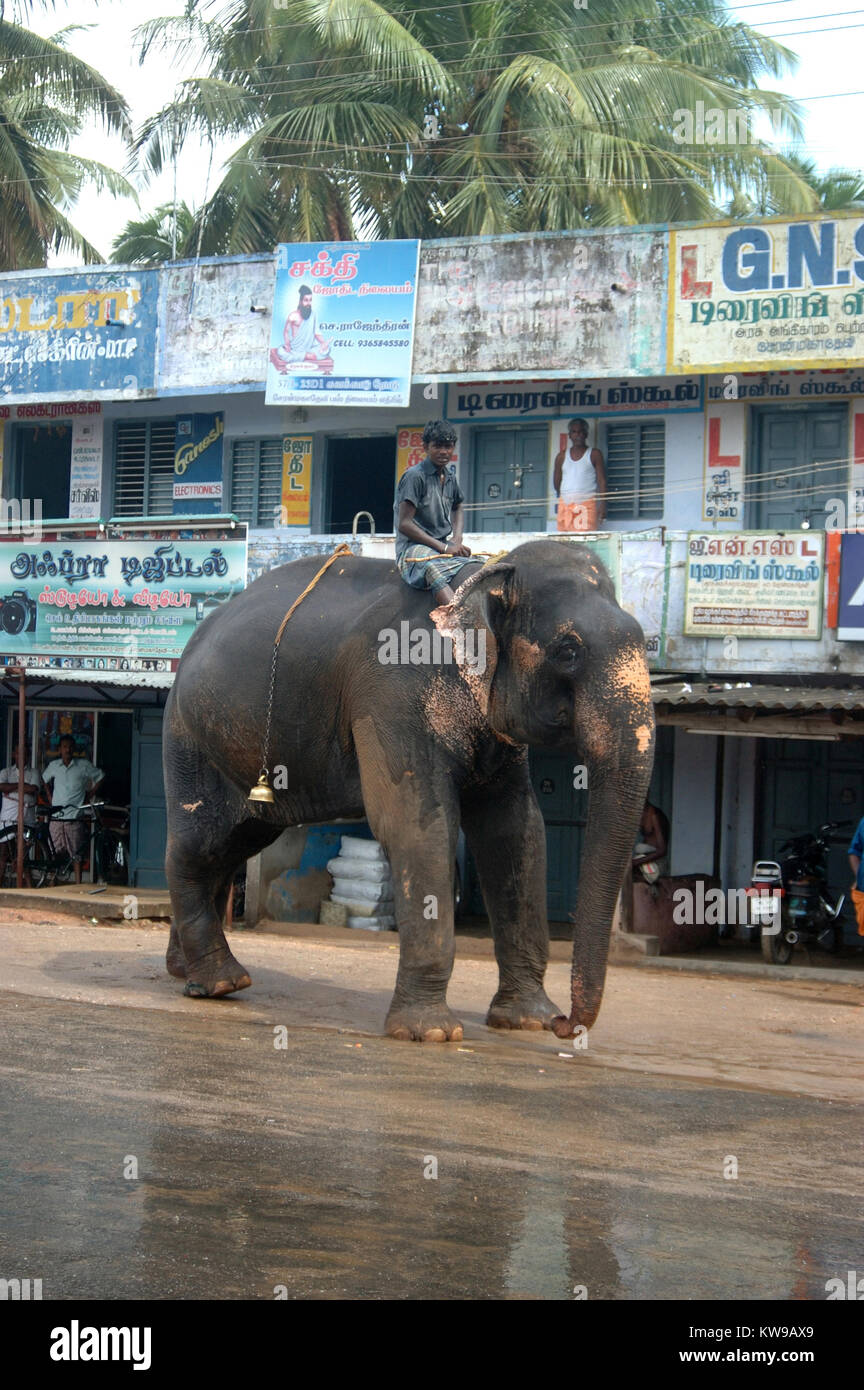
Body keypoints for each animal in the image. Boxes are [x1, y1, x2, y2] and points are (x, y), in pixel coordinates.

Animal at [162, 539, 655, 1045]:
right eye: (568, 650)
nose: (565, 1026)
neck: (480, 580)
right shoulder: (394, 692)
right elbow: (416, 823)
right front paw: (430, 1033)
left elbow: (516, 829)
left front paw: (526, 1021)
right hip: (188, 735)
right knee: (197, 844)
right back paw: (222, 982)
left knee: (234, 843)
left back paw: (187, 974)